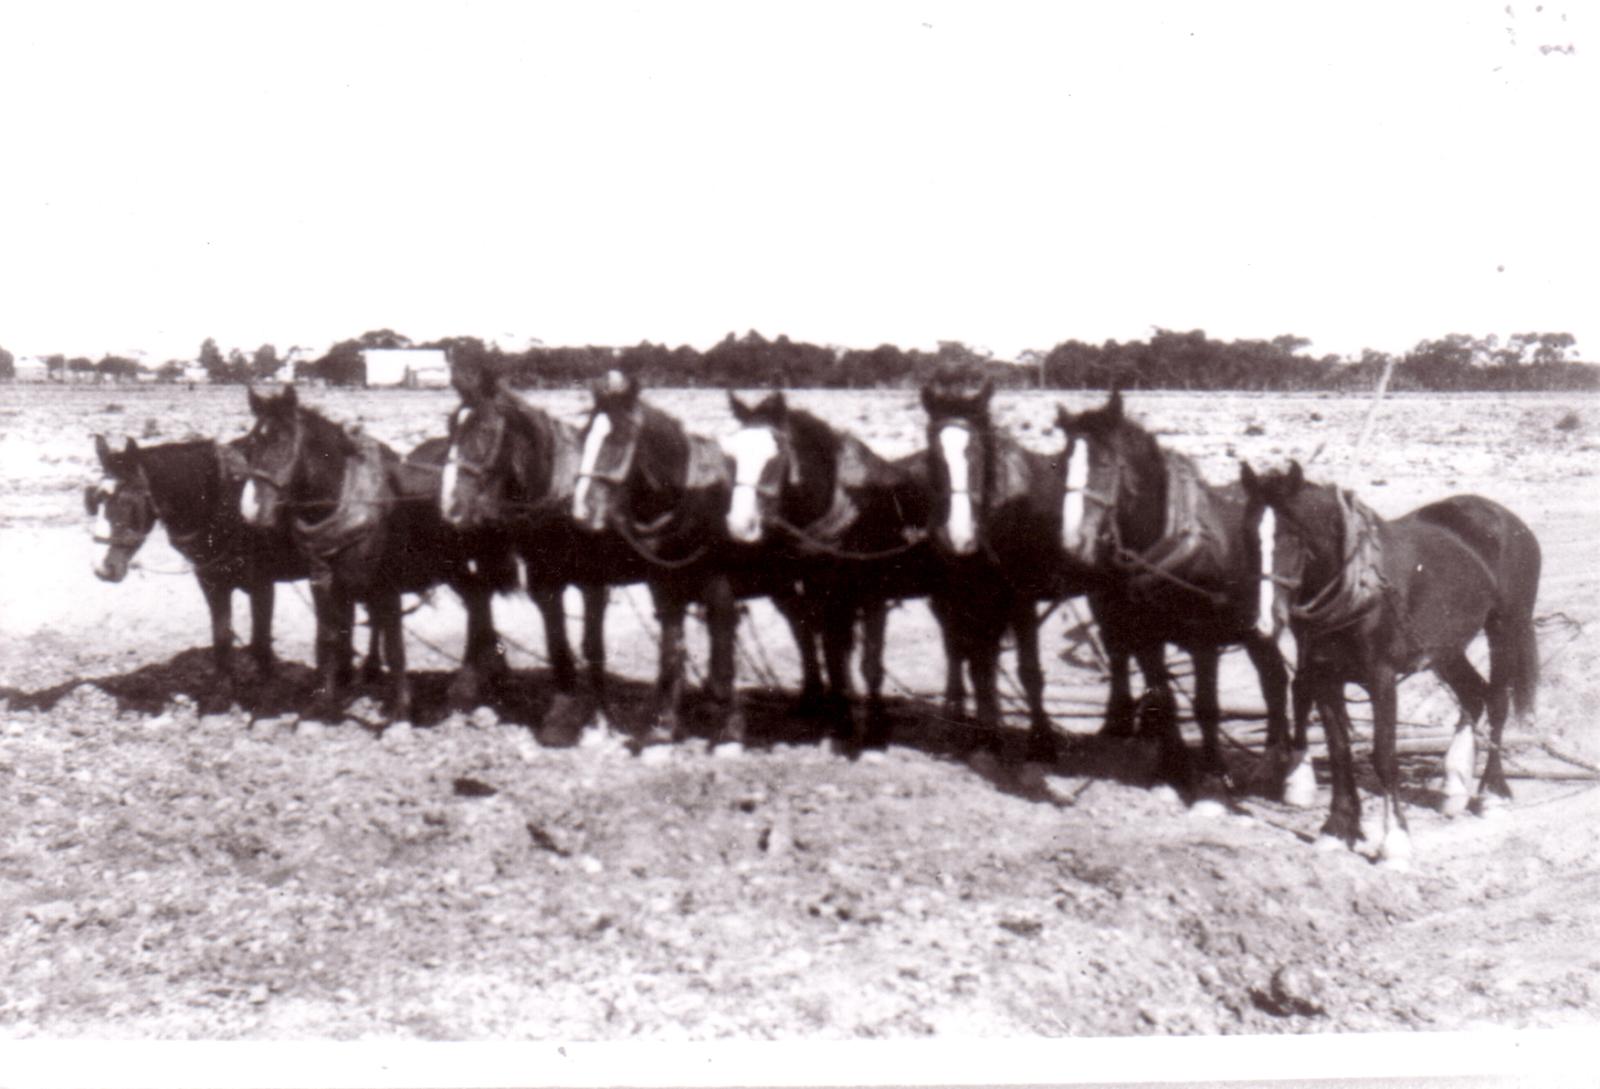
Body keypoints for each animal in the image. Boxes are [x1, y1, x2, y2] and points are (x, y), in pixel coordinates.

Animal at [236, 382, 508, 722]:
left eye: (282, 441)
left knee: (479, 602)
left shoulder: (386, 587)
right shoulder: (325, 583)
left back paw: (472, 681)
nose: (251, 510)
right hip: (451, 565)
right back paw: (480, 675)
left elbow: (395, 646)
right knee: (477, 600)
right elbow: (330, 637)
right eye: (250, 445)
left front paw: (400, 710)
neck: (349, 503)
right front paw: (324, 703)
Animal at [1056, 393, 1292, 805]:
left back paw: (1276, 762)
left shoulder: (1204, 637)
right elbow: (1164, 695)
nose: (1073, 539)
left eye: (1104, 464)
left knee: (1275, 681)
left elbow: (1206, 705)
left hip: (1258, 629)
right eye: (1059, 464)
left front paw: (1214, 773)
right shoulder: (1145, 634)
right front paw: (1174, 766)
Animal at [1235, 460, 1536, 863]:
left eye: (1291, 535)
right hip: (1445, 647)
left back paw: (1490, 792)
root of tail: (1505, 518)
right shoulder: (1324, 675)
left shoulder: (1381, 678)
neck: (1357, 588)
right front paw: (1337, 828)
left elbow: (1383, 755)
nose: (1262, 619)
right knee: (1473, 694)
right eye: (1247, 532)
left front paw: (1395, 839)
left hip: (1505, 627)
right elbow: (1339, 750)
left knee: (1498, 700)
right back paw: (1454, 785)